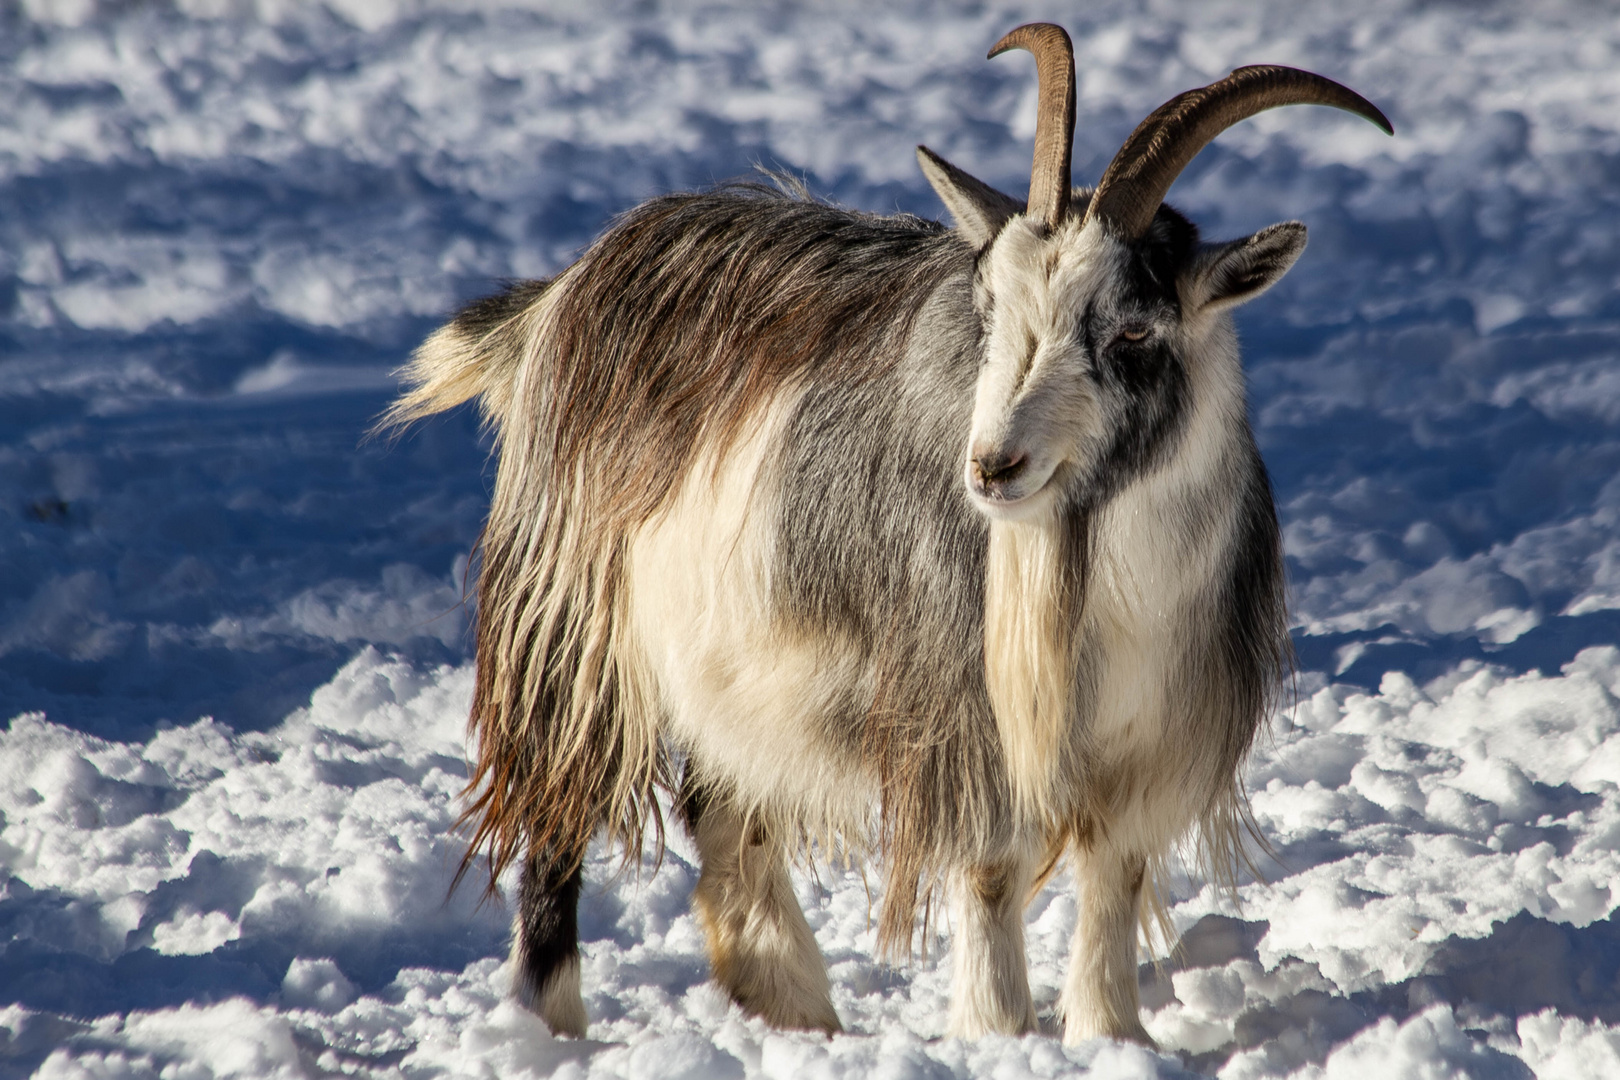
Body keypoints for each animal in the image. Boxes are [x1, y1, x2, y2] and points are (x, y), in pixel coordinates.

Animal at [388, 23, 1393, 1049]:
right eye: (991, 314)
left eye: (1136, 333)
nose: (993, 468)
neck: (1101, 587)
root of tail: (570, 286)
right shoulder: (962, 713)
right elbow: (990, 871)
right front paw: (997, 1031)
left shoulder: (1150, 743)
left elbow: (1115, 877)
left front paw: (1112, 1038)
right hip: (568, 618)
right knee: (557, 811)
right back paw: (547, 1026)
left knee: (721, 802)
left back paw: (792, 1006)